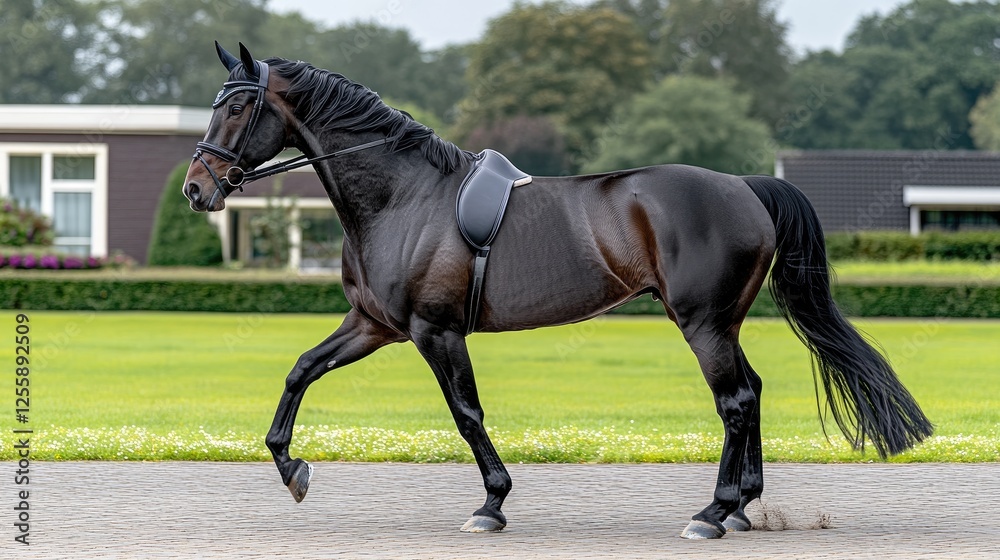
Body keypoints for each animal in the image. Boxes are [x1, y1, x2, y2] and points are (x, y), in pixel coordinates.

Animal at [183, 42, 933, 539]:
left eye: (240, 106)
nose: (196, 189)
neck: (403, 197)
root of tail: (746, 186)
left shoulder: (434, 330)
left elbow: (467, 414)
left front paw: (492, 504)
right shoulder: (374, 324)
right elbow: (300, 370)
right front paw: (291, 467)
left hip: (702, 323)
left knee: (736, 401)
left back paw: (715, 512)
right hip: (721, 322)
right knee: (749, 394)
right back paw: (743, 506)